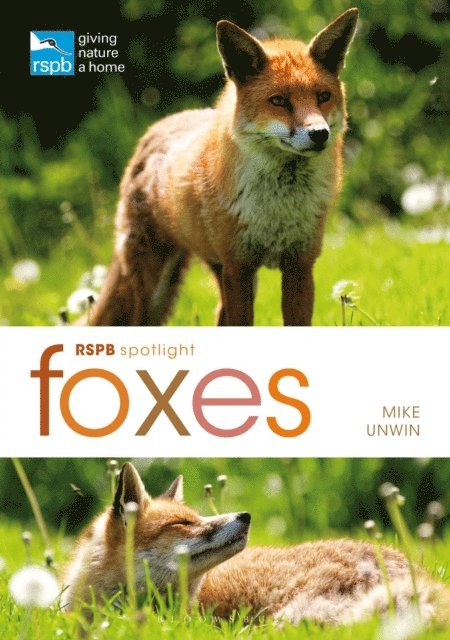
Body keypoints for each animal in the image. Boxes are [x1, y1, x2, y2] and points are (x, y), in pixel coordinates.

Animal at [88, 9, 359, 326]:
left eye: (323, 96)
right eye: (279, 101)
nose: (319, 134)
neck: (277, 208)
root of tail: (158, 127)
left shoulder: (299, 267)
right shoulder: (238, 267)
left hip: (216, 272)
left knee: (219, 315)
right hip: (155, 281)